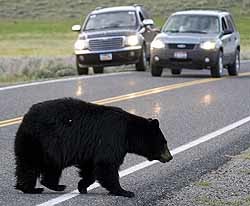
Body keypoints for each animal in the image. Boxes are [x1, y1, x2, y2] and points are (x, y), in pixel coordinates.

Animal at [14, 98, 173, 198]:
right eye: (164, 142)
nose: (170, 157)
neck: (129, 132)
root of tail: (25, 117)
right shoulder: (112, 138)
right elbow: (106, 164)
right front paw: (124, 191)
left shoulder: (92, 149)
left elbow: (90, 168)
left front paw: (82, 186)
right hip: (41, 141)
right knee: (30, 165)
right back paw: (33, 188)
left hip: (44, 146)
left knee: (46, 167)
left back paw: (51, 186)